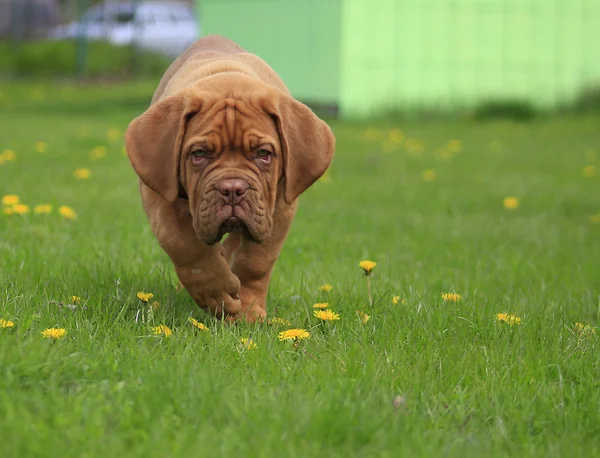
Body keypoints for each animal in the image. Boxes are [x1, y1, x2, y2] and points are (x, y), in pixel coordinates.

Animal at [124, 35, 336, 320]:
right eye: (199, 154)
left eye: (263, 154)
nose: (233, 189)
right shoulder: (158, 194)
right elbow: (185, 245)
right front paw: (217, 293)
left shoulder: (279, 206)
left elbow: (256, 260)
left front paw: (248, 310)